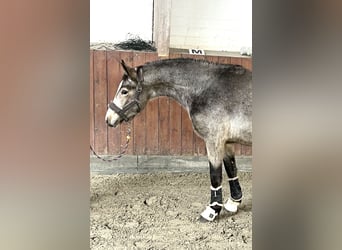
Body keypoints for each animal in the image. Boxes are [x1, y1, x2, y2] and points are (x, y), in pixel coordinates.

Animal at [105, 58, 252, 221]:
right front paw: (234, 202)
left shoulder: (214, 141)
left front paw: (211, 211)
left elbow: (215, 175)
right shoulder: (226, 142)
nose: (109, 119)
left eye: (124, 91)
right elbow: (231, 169)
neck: (204, 88)